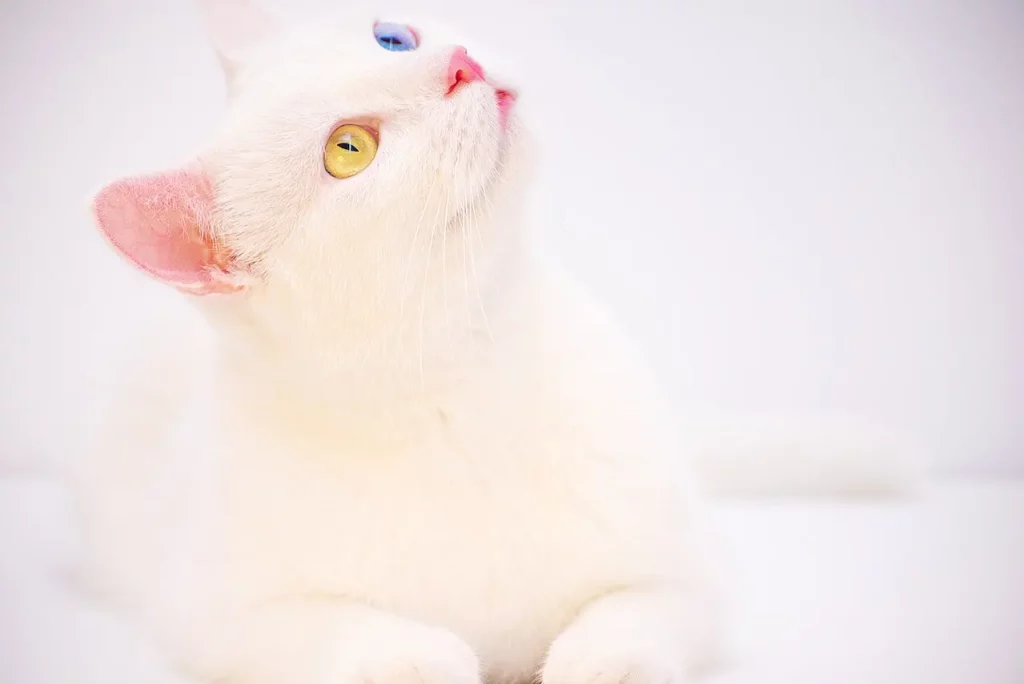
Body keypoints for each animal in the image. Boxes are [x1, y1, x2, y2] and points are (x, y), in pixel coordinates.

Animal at [72, 1, 921, 684]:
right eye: (349, 149)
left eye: (392, 36)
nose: (459, 63)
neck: (471, 385)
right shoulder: (217, 616)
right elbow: (341, 633)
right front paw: (423, 657)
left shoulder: (687, 578)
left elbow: (636, 611)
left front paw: (598, 660)